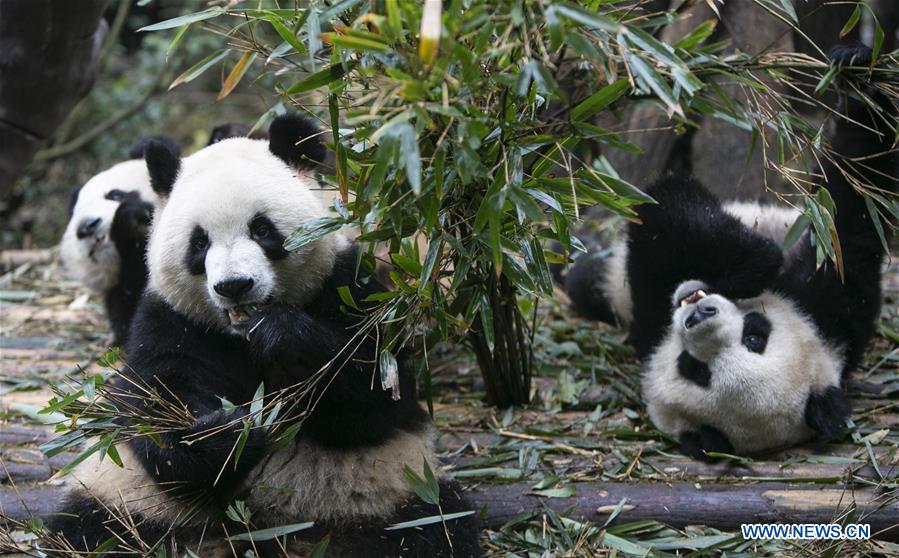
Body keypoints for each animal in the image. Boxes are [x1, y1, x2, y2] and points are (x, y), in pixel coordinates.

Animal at [559, 43, 897, 459]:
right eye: (756, 334)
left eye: (696, 369)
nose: (698, 312)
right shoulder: (834, 310)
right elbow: (849, 216)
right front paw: (856, 67)